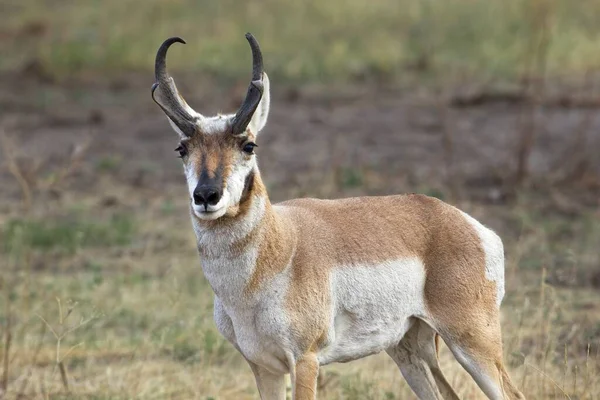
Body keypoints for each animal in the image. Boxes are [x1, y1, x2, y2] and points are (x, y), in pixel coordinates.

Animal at [151, 34, 524, 400]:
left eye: (248, 145)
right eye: (182, 148)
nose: (206, 196)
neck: (281, 245)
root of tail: (468, 225)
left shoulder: (305, 360)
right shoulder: (264, 367)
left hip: (472, 344)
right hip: (410, 350)